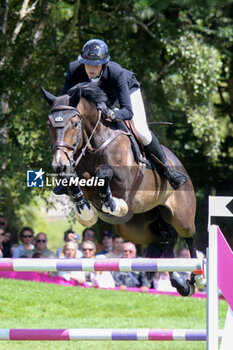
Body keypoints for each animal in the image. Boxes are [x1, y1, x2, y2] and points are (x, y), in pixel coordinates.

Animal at [41, 82, 205, 296]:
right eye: (49, 125)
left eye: (75, 124)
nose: (59, 165)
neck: (95, 144)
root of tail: (179, 164)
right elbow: (75, 180)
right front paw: (85, 211)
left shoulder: (123, 181)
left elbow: (104, 173)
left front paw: (112, 204)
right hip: (135, 229)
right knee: (166, 238)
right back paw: (179, 281)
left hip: (181, 216)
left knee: (188, 236)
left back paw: (197, 278)